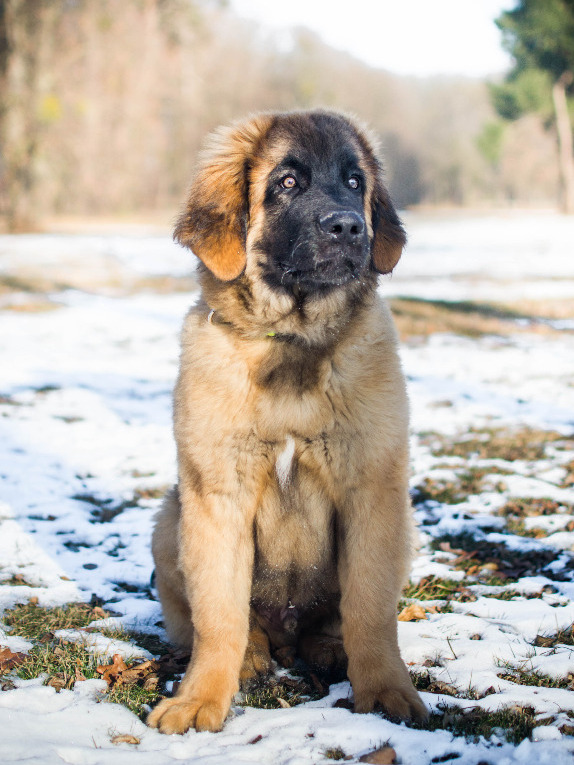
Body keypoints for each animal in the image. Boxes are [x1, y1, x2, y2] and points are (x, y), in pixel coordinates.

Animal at [147, 109, 427, 734]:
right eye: (288, 183)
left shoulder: (373, 490)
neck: (293, 338)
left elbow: (370, 608)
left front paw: (387, 691)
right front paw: (201, 698)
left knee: (336, 619)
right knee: (221, 621)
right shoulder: (217, 495)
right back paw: (253, 655)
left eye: (354, 181)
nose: (349, 227)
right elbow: (218, 615)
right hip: (168, 521)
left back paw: (328, 649)